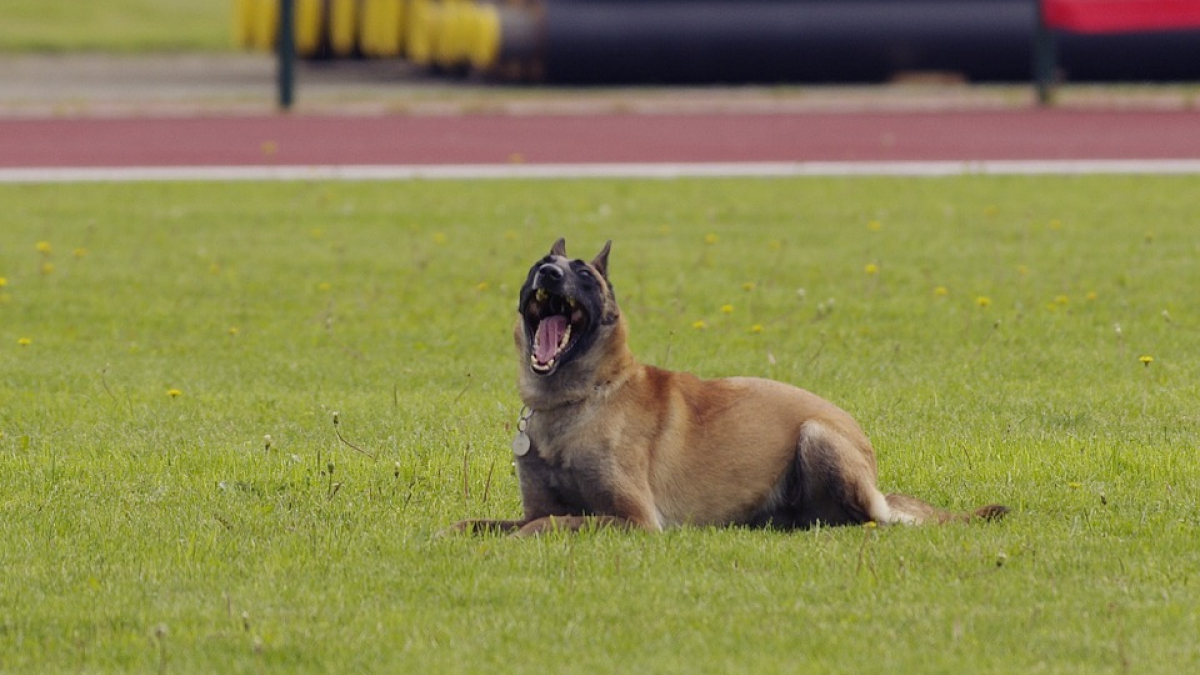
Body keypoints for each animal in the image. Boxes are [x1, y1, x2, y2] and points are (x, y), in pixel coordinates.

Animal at [453, 239, 1008, 533]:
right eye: (537, 265)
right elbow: (493, 522)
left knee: (871, 519)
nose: (548, 272)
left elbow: (550, 523)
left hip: (817, 436)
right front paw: (460, 531)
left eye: (584, 274)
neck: (579, 398)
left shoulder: (634, 519)